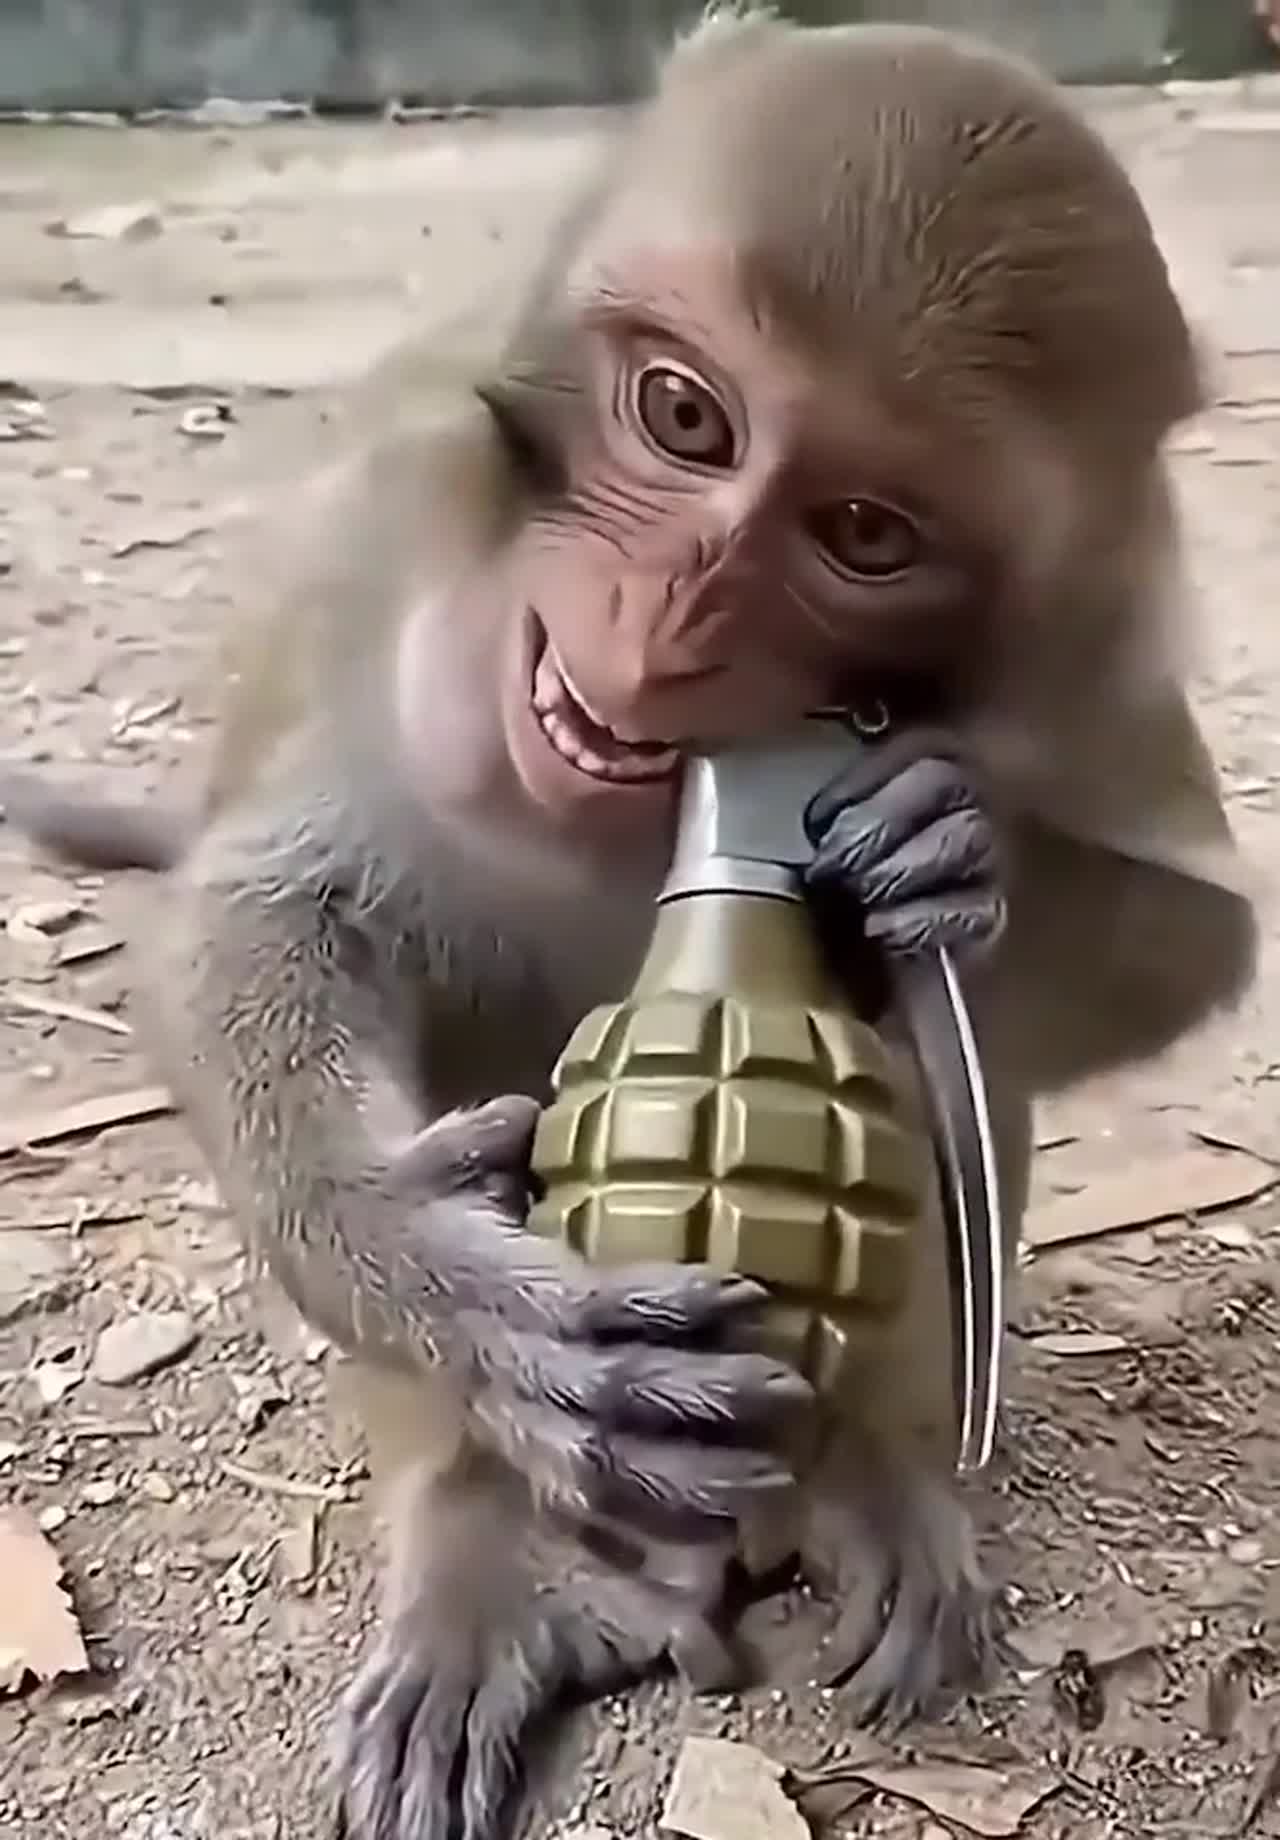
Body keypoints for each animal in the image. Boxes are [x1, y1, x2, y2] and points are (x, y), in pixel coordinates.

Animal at [1, 12, 1258, 1840]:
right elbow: (266, 915)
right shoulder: (386, 516)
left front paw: (948, 853)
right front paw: (446, 1274)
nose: (674, 618)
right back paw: (491, 1545)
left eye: (865, 533)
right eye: (683, 417)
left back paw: (871, 1471)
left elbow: (1190, 933)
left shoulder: (1089, 658)